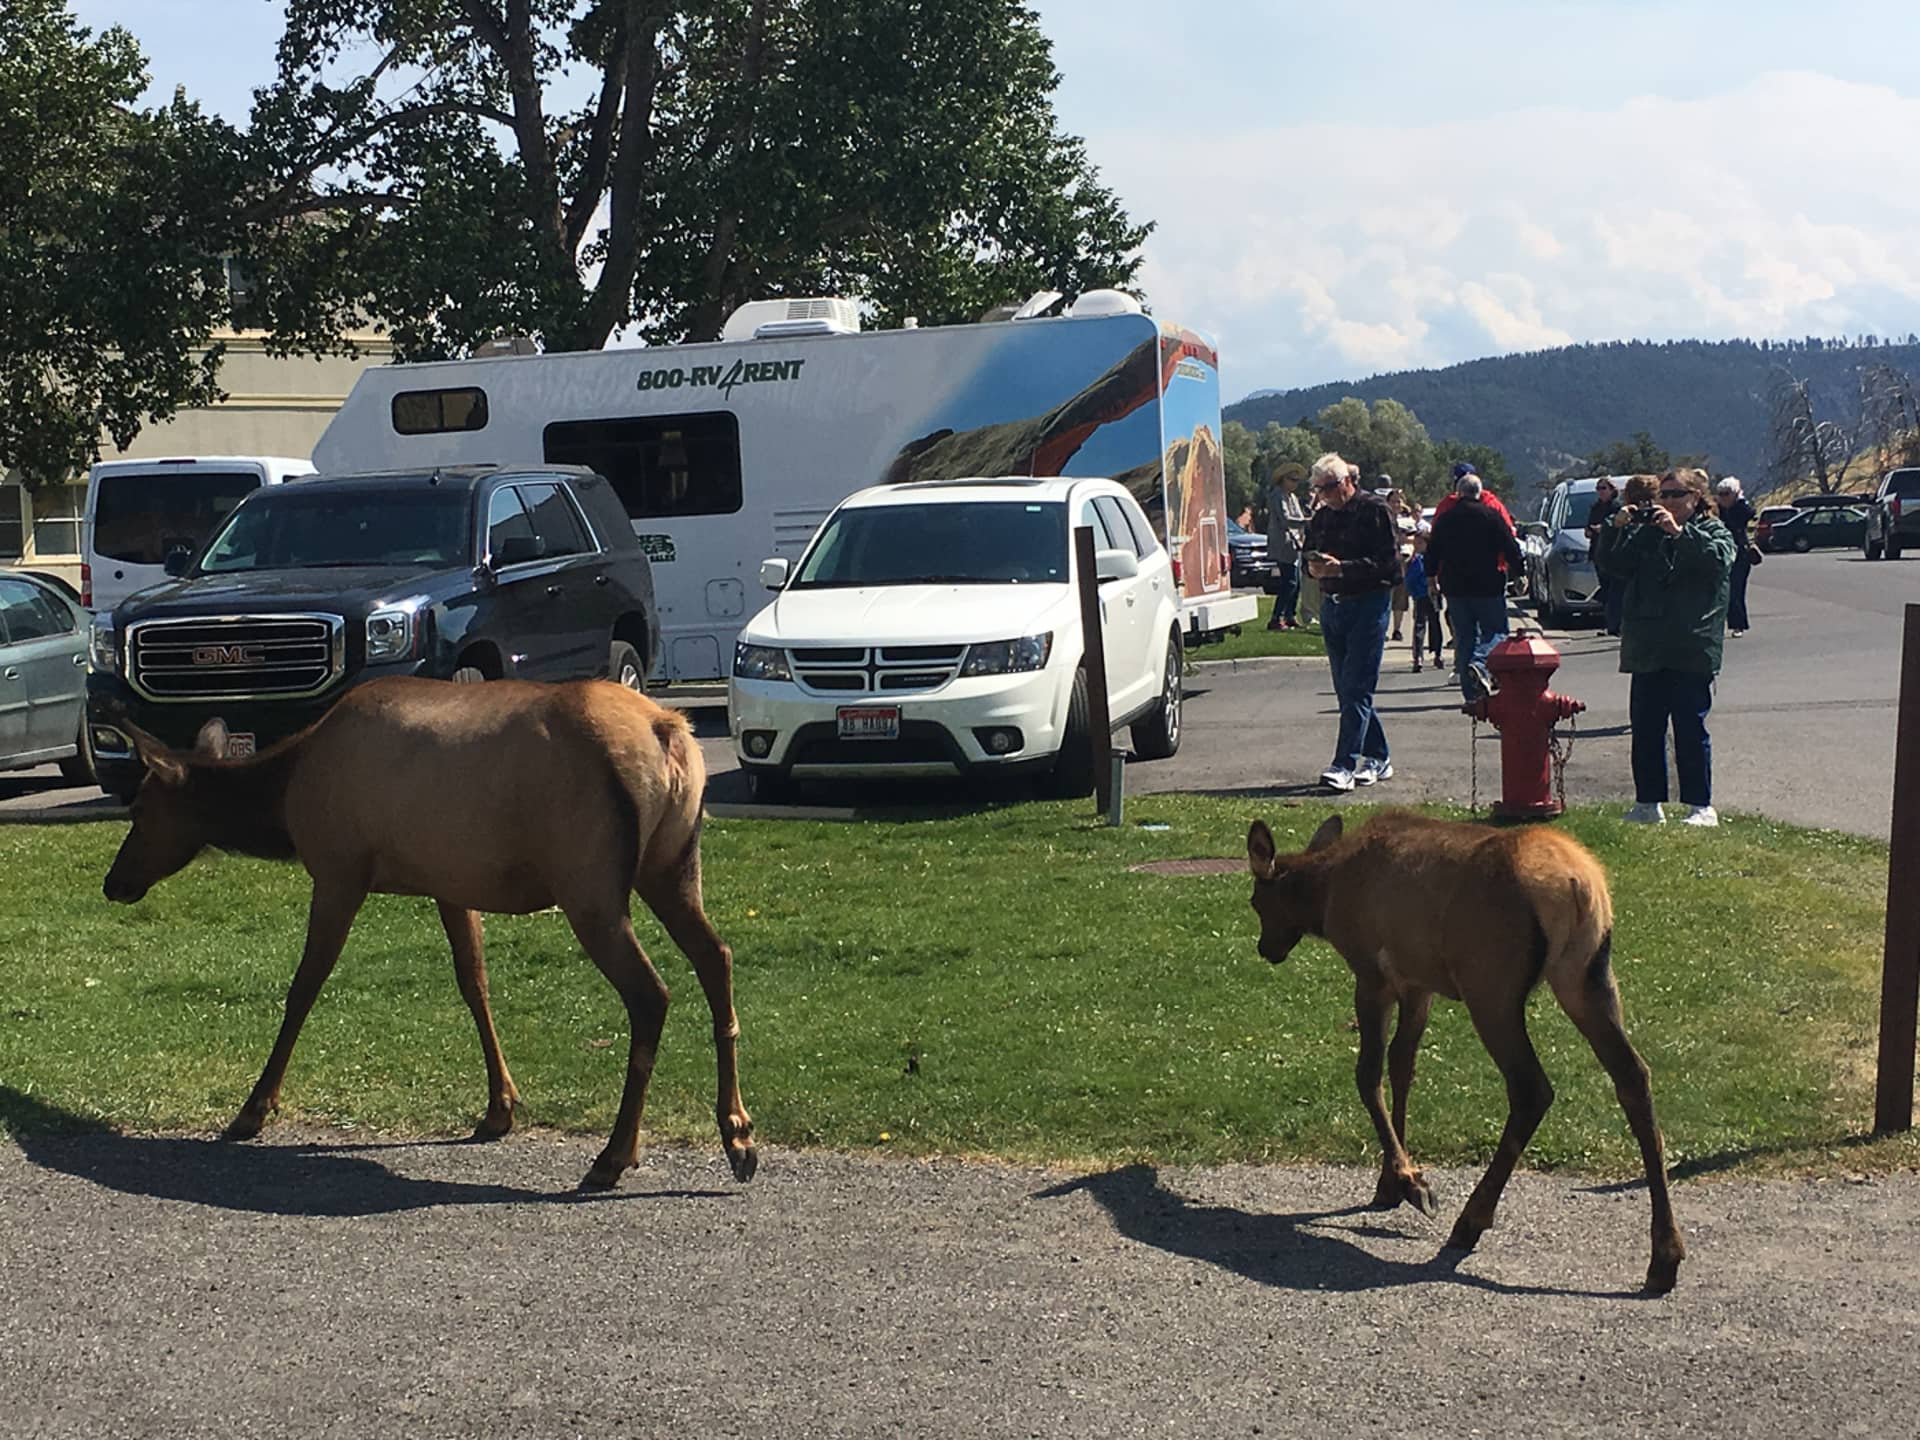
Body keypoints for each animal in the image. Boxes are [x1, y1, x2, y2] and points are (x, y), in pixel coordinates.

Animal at [101, 676, 755, 1191]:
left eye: (140, 809)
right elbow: (474, 983)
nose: (114, 882)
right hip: (671, 866)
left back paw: (615, 1155)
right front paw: (499, 1107)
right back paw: (738, 1136)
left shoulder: (339, 868)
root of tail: (671, 734)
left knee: (651, 994)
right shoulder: (451, 883)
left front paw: (254, 1108)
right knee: (716, 956)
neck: (283, 799)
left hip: (589, 881)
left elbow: (303, 986)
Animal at [1245, 809, 1684, 1294]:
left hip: (1491, 984)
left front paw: (1410, 1183)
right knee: (1634, 1076)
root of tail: (1577, 886)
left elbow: (1368, 1074)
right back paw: (1664, 1256)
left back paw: (1471, 1220)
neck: (1324, 895)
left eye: (1256, 902)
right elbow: (1403, 1067)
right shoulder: (1419, 984)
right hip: (1587, 978)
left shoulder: (1372, 973)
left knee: (1532, 1088)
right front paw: (1391, 1181)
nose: (1266, 949)